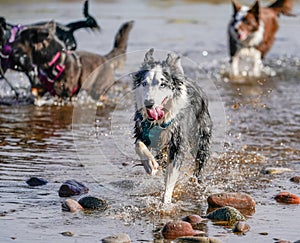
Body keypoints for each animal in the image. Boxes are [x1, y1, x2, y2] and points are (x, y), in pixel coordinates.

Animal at [132, 49, 212, 203]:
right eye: (144, 83)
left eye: (162, 84)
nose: (148, 104)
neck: (160, 121)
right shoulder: (141, 129)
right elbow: (139, 145)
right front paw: (150, 164)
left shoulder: (178, 142)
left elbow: (171, 175)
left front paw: (166, 201)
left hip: (200, 137)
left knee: (199, 163)